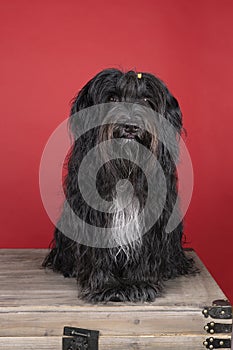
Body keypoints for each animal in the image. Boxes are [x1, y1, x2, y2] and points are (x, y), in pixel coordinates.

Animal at [42, 69, 195, 304]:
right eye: (112, 98)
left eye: (146, 100)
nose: (131, 126)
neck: (124, 169)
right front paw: (106, 286)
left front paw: (139, 283)